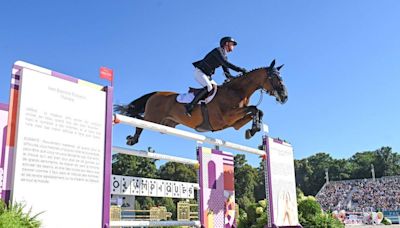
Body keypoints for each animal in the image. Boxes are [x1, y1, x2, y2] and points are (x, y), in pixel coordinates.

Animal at [115, 59, 288, 145]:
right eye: (275, 77)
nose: (285, 97)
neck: (237, 91)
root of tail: (156, 93)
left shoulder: (235, 123)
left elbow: (257, 111)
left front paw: (252, 130)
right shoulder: (228, 117)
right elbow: (254, 109)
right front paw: (254, 129)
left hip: (166, 124)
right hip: (153, 118)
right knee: (139, 121)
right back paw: (132, 139)